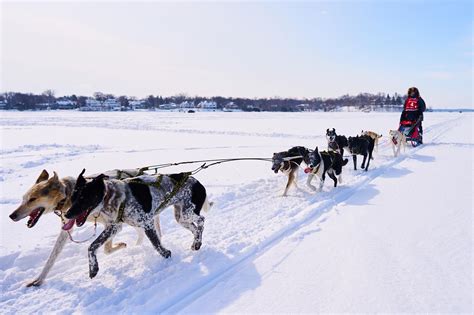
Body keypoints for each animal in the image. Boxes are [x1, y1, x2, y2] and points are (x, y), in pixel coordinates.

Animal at [8, 169, 159, 288]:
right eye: (23, 198)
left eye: (32, 199)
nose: (11, 215)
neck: (67, 196)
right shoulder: (67, 229)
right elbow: (52, 257)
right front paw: (39, 279)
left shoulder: (112, 223)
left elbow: (106, 248)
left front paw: (119, 246)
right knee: (141, 232)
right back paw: (138, 244)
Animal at [63, 170, 211, 278]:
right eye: (73, 198)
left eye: (83, 198)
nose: (67, 214)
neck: (113, 197)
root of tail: (196, 181)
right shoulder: (114, 227)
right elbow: (92, 246)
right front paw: (93, 268)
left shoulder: (147, 223)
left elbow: (156, 244)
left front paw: (166, 254)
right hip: (181, 217)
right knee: (195, 228)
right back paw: (195, 243)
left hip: (187, 213)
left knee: (201, 220)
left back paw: (197, 242)